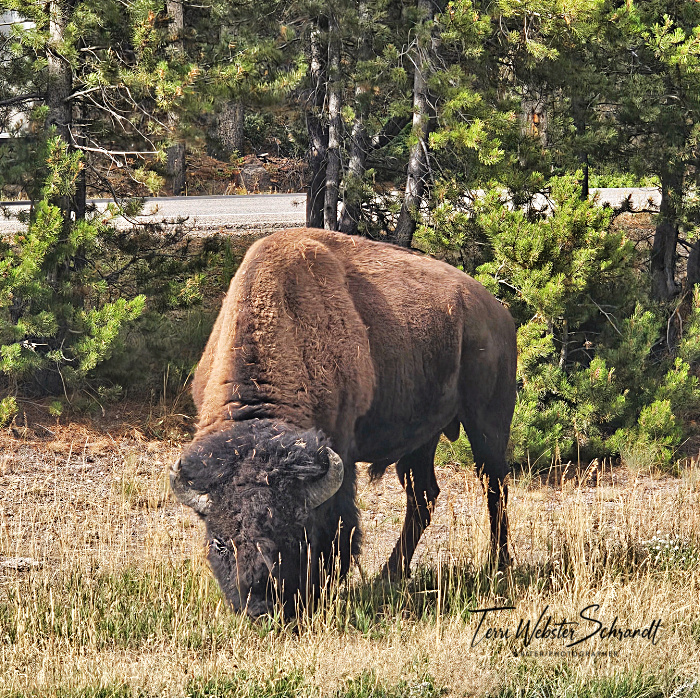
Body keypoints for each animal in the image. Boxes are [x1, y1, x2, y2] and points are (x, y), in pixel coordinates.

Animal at [171, 228, 517, 618]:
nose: (260, 602)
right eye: (219, 542)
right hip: (421, 438)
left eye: (295, 535)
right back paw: (390, 575)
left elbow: (340, 525)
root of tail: (497, 311)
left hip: (487, 424)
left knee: (495, 486)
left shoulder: (340, 455)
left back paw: (499, 566)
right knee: (423, 497)